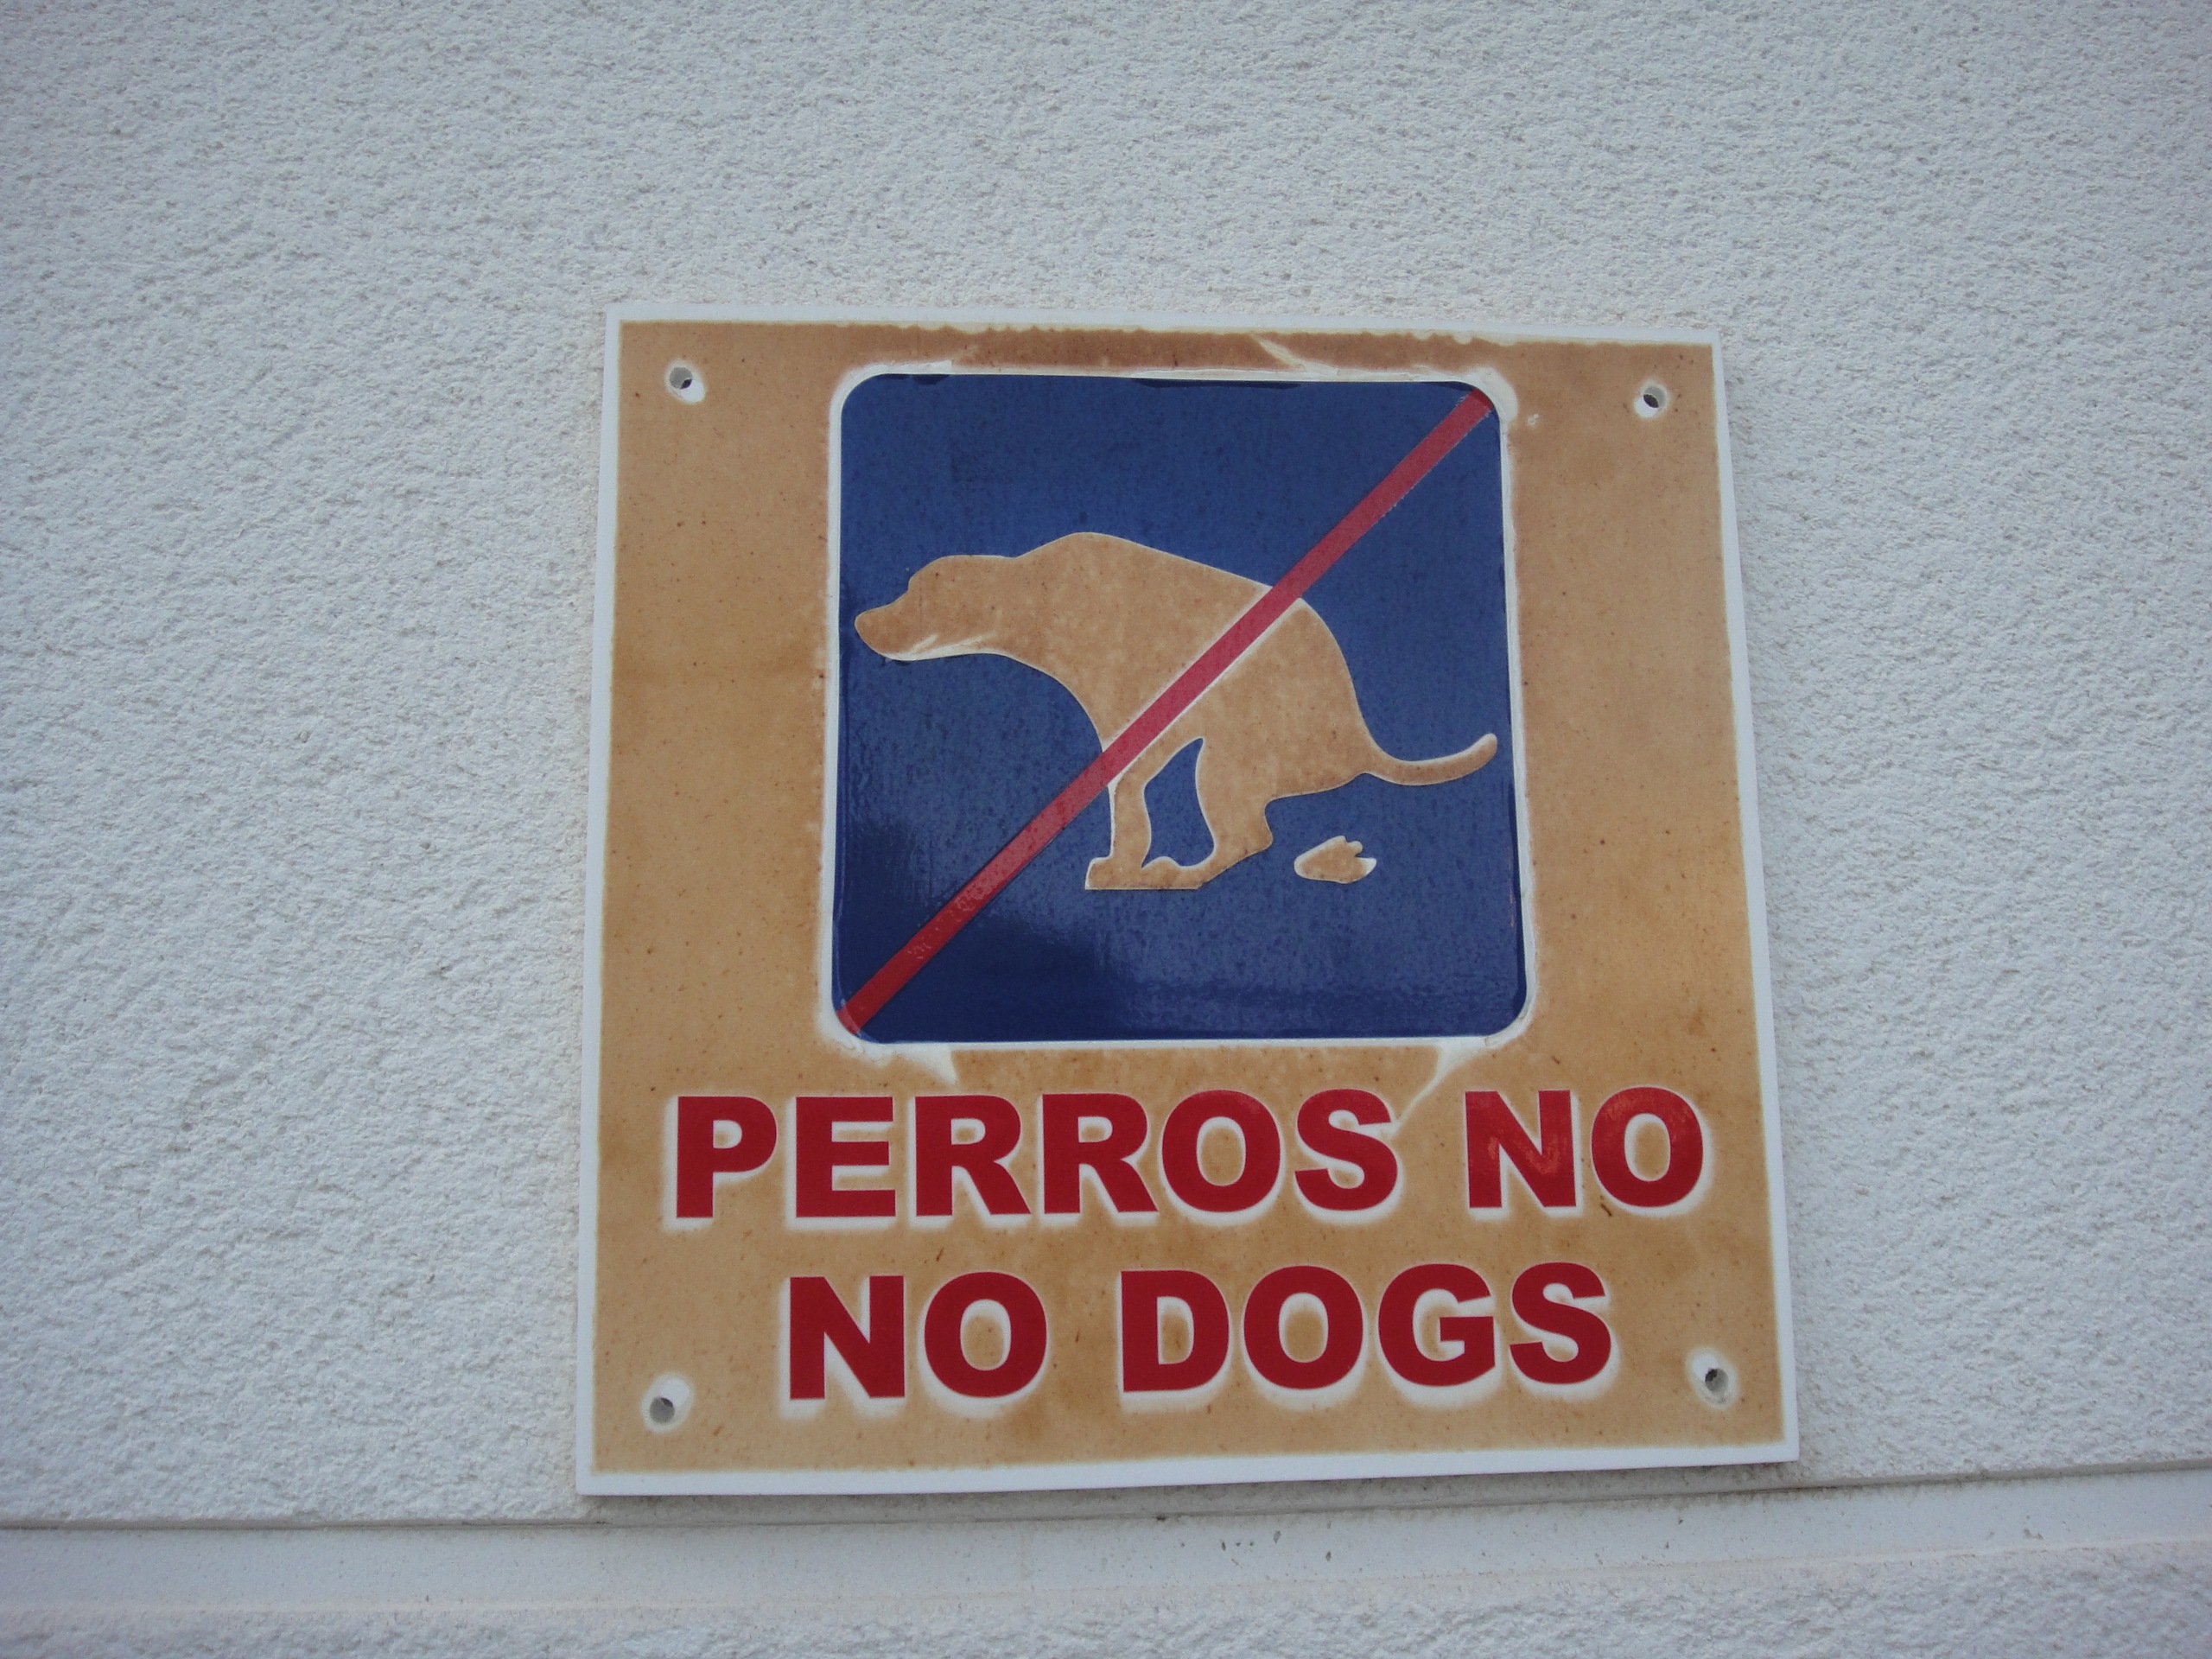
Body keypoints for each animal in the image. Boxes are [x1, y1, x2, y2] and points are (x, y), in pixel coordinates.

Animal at [854, 533, 1497, 890]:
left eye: (915, 593)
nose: (860, 621)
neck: (1041, 595)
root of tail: (1362, 740)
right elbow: (1130, 787)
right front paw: (1124, 863)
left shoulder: (1151, 710)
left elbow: (1124, 790)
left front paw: (1122, 867)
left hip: (1229, 762)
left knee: (1250, 837)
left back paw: (1185, 874)